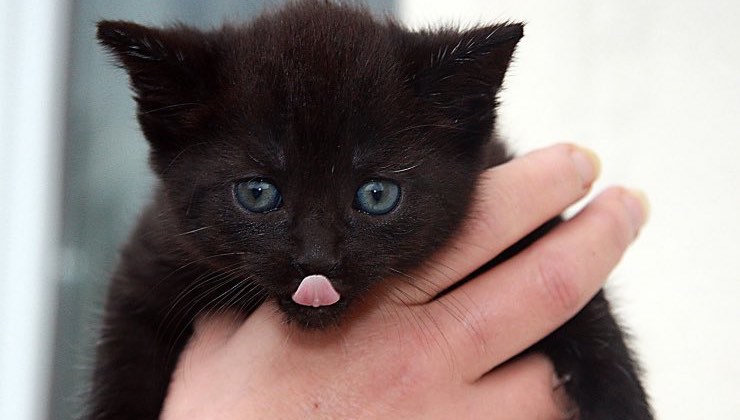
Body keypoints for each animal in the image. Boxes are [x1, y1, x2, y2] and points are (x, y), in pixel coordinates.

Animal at [89, 1, 652, 418]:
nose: (316, 260)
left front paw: (622, 404)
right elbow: (122, 368)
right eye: (257, 194)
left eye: (377, 195)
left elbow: (596, 329)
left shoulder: (523, 224)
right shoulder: (150, 265)